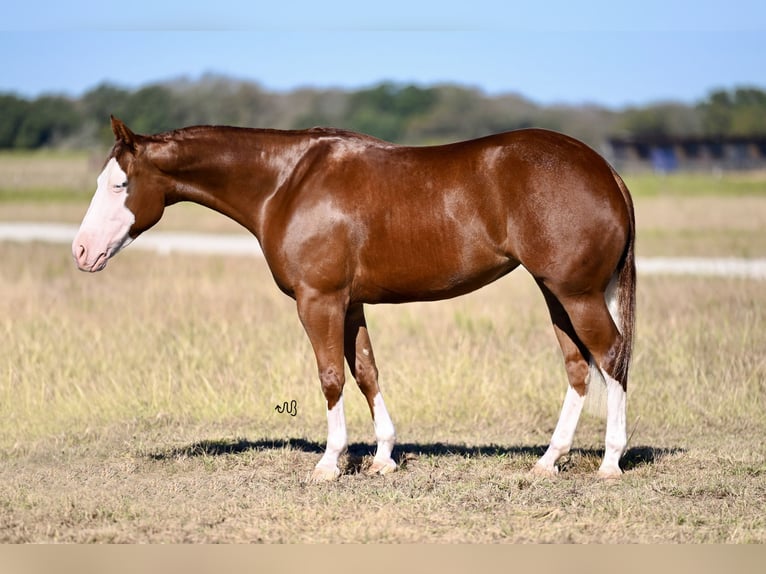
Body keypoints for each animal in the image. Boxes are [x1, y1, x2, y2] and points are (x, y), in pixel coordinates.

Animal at [73, 116, 636, 482]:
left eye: (120, 184)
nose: (82, 251)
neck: (286, 183)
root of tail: (607, 171)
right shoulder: (351, 304)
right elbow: (366, 371)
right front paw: (384, 456)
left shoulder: (318, 301)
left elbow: (330, 377)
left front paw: (330, 462)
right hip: (557, 294)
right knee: (579, 366)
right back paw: (548, 460)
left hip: (576, 294)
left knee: (610, 356)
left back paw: (610, 462)